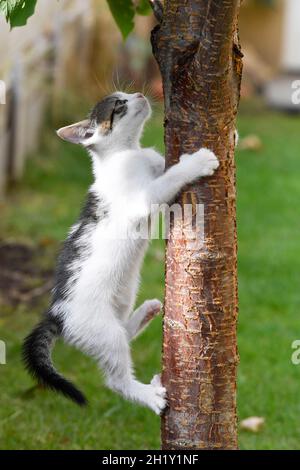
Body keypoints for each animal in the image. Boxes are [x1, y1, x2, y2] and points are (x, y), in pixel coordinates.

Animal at [21, 92, 218, 414]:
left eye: (125, 96)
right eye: (117, 105)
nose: (138, 95)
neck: (126, 153)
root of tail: (55, 312)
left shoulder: (153, 163)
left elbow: (165, 169)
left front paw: (232, 136)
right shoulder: (141, 199)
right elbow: (168, 179)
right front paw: (198, 161)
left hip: (123, 296)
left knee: (124, 331)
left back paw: (147, 311)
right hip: (100, 328)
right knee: (115, 378)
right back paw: (148, 395)